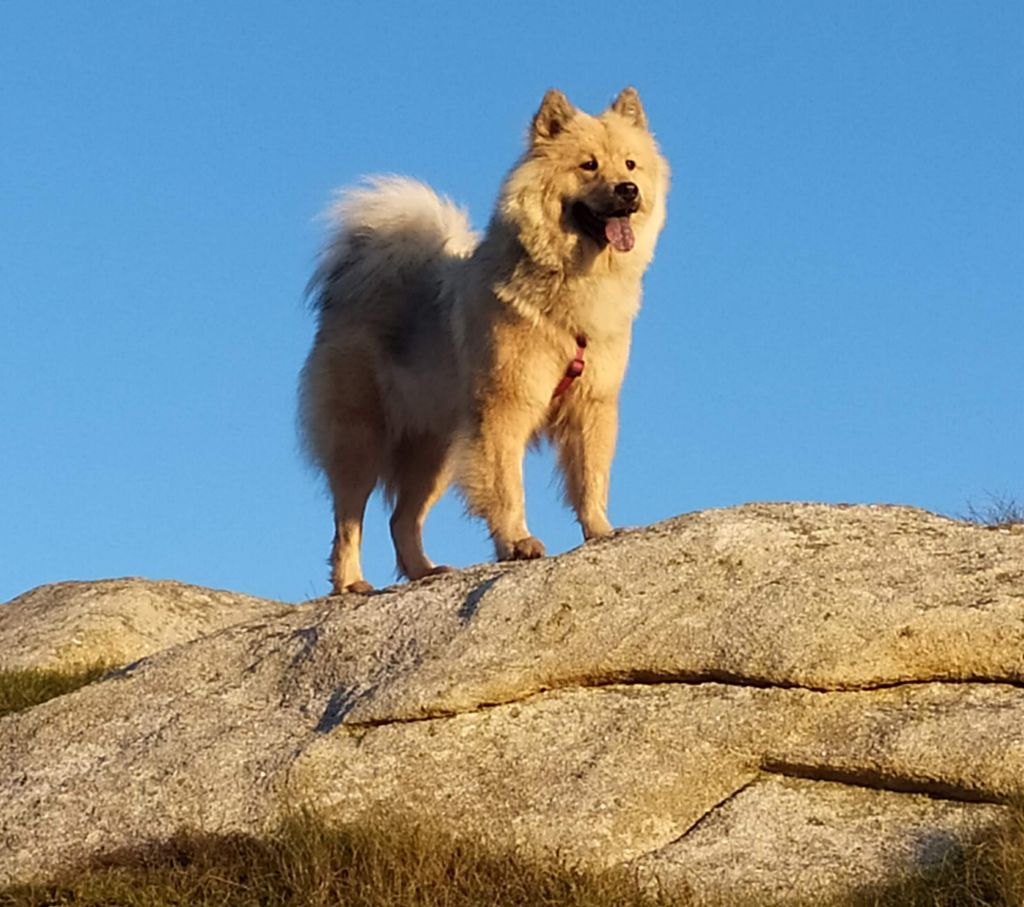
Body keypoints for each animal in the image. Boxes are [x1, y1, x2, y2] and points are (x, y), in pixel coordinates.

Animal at [299, 87, 667, 597]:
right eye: (589, 165)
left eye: (630, 165)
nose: (628, 190)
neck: (569, 286)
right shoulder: (504, 407)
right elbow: (507, 486)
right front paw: (517, 542)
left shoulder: (592, 405)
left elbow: (590, 479)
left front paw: (601, 530)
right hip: (362, 438)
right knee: (348, 519)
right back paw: (352, 582)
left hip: (434, 450)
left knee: (401, 519)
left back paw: (426, 571)